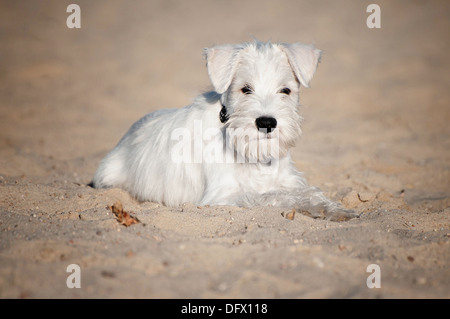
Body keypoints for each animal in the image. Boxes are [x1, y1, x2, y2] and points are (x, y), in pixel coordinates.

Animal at [92, 41, 358, 221]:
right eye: (245, 89)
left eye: (286, 90)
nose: (266, 122)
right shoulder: (223, 197)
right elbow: (274, 196)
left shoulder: (289, 180)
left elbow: (310, 193)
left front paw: (338, 210)